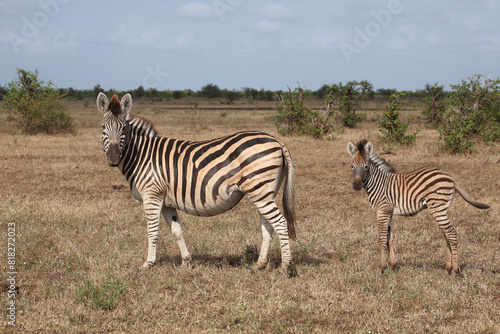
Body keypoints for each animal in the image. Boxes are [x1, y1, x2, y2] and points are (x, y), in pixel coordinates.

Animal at [96, 94, 296, 276]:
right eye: (103, 127)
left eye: (124, 128)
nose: (113, 157)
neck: (142, 155)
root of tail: (277, 140)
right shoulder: (166, 202)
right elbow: (177, 231)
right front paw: (186, 262)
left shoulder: (152, 196)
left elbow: (152, 231)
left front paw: (148, 264)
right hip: (265, 192)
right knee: (268, 225)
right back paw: (260, 265)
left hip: (260, 190)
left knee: (280, 222)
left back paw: (286, 267)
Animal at [346, 140, 490, 276]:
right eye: (352, 166)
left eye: (366, 166)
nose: (356, 186)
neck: (378, 184)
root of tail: (450, 175)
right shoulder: (389, 212)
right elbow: (389, 238)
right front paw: (392, 267)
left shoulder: (382, 211)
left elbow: (381, 239)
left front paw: (381, 269)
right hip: (442, 209)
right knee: (447, 235)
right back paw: (447, 269)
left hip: (437, 208)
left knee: (451, 233)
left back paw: (455, 271)